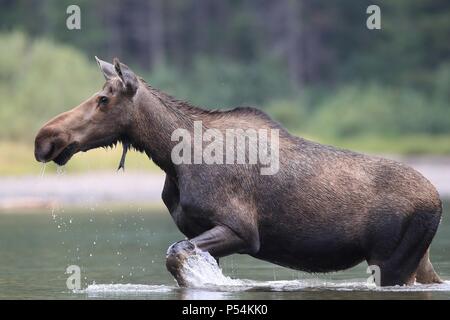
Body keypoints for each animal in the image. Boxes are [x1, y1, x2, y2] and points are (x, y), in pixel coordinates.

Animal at [35, 56, 442, 286]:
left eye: (103, 99)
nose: (45, 138)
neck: (172, 157)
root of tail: (438, 201)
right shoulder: (204, 233)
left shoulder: (242, 231)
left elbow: (175, 255)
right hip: (416, 258)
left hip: (390, 260)